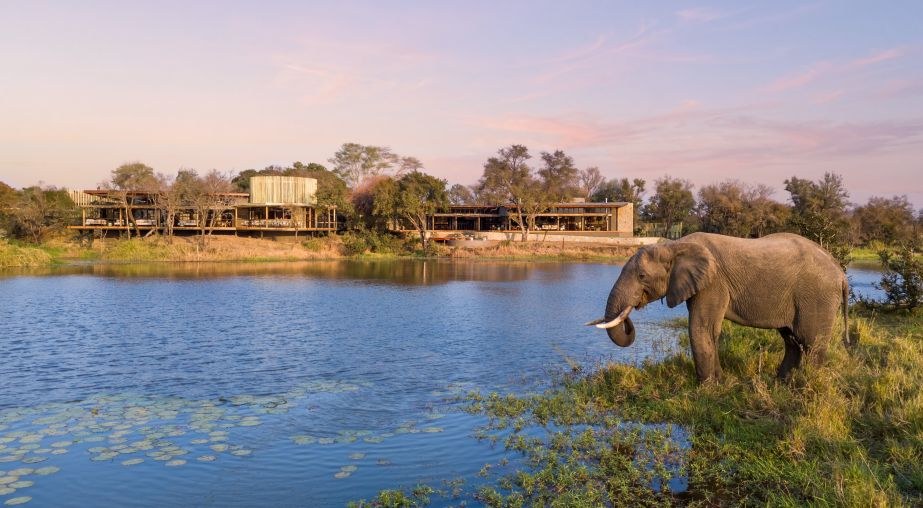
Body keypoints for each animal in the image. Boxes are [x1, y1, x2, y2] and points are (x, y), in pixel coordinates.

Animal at [587, 232, 849, 383]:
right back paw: (782, 383)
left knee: (810, 342)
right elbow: (708, 331)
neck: (675, 245)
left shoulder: (713, 284)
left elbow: (700, 328)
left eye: (642, 276)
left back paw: (806, 386)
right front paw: (720, 383)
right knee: (791, 340)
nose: (631, 311)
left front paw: (706, 389)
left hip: (817, 296)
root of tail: (841, 273)